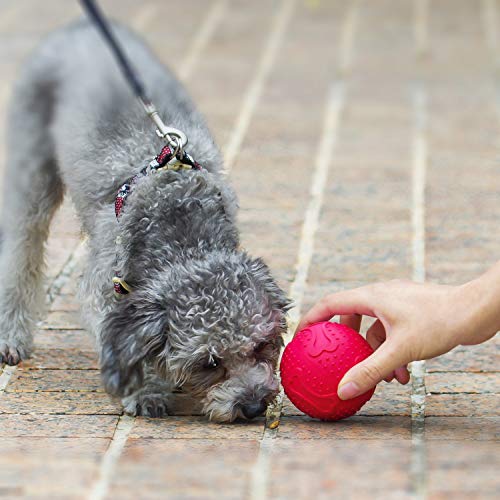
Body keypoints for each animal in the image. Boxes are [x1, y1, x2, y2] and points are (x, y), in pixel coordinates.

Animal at [0, 22, 292, 422]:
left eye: (263, 345)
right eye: (210, 363)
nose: (252, 405)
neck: (180, 220)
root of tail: (80, 27)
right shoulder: (103, 289)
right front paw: (146, 391)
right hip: (31, 176)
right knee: (20, 250)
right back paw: (10, 335)